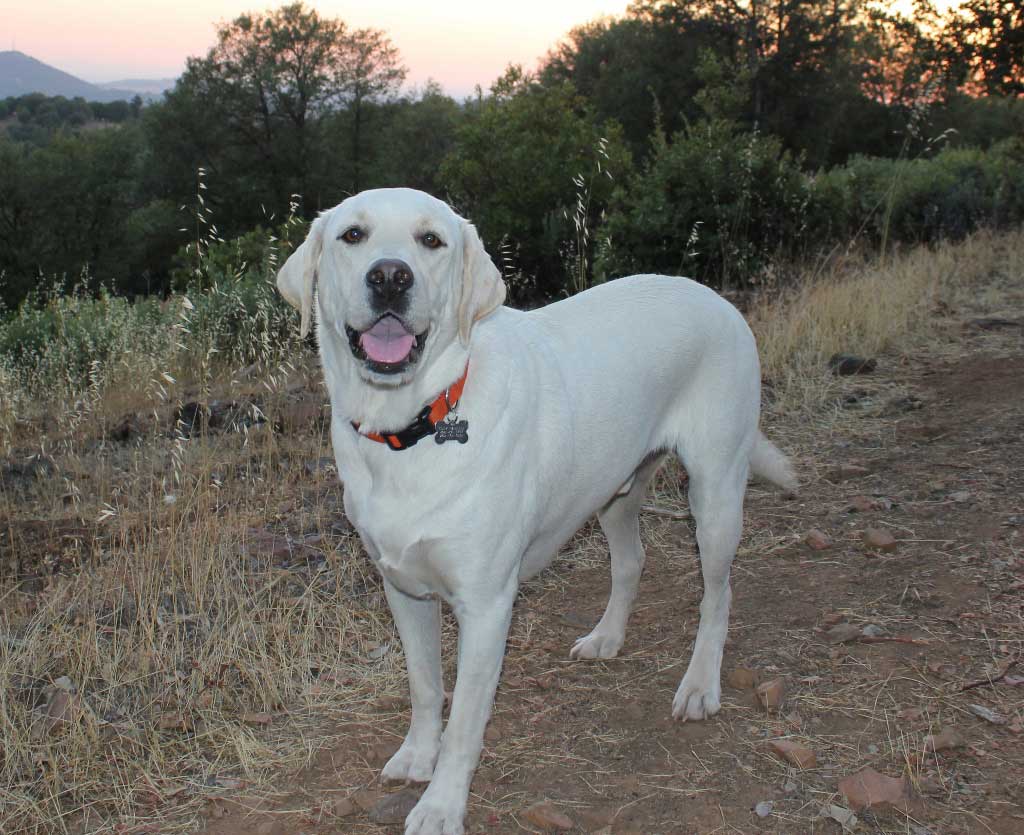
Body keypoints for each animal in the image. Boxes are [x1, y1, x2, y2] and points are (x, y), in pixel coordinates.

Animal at [276, 189, 794, 835]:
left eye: (430, 240)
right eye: (352, 235)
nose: (390, 277)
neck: (415, 425)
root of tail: (717, 298)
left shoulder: (486, 607)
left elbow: (465, 724)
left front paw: (442, 804)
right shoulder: (403, 589)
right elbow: (424, 687)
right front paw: (417, 755)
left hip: (715, 493)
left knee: (718, 594)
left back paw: (700, 685)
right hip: (615, 490)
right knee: (631, 561)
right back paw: (606, 637)